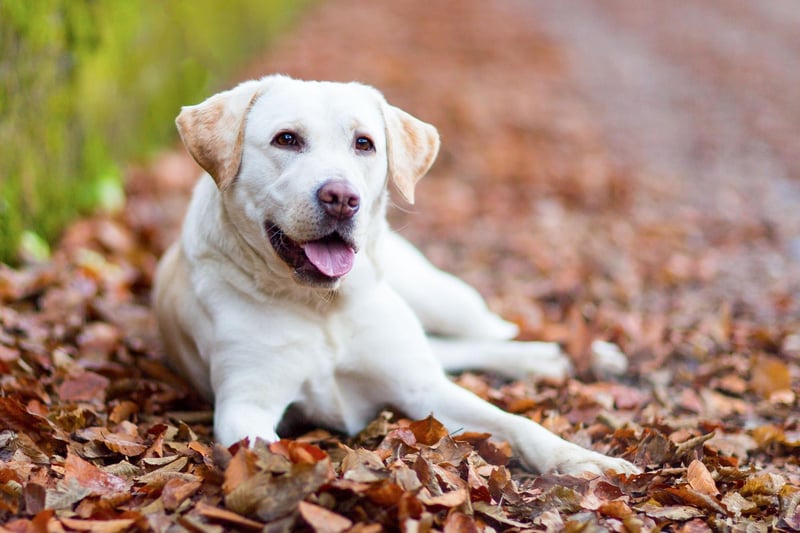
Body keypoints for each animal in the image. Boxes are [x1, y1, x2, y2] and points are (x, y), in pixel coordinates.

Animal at [155, 74, 636, 474]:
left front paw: (581, 459)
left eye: (364, 143)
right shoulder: (245, 405)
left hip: (441, 298)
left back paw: (576, 353)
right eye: (286, 139)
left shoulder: (423, 389)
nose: (341, 198)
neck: (323, 307)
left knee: (492, 330)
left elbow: (516, 422)